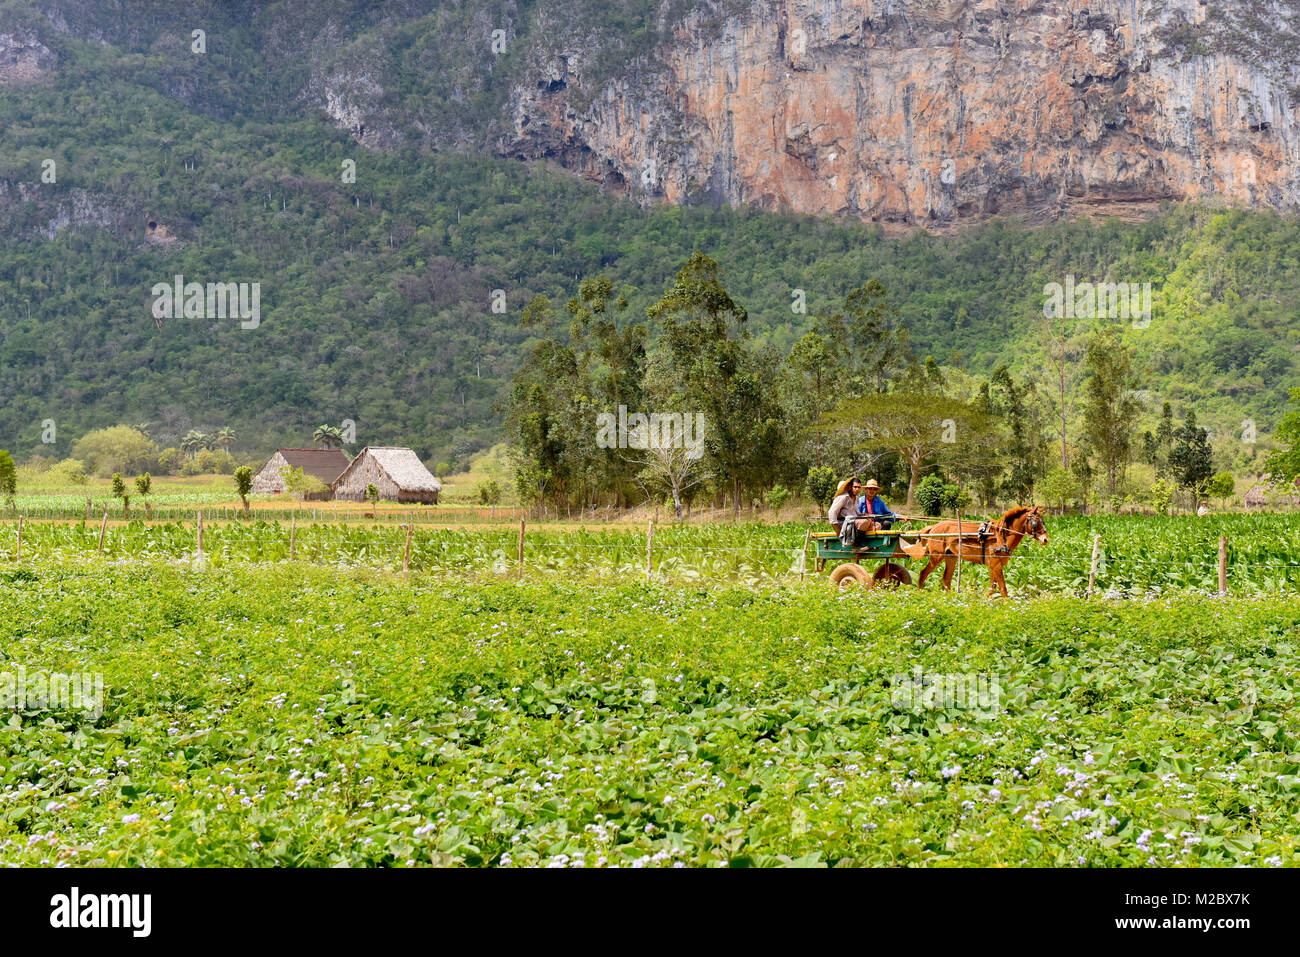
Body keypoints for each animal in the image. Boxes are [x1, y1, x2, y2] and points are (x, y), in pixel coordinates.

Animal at [909, 504, 1050, 595]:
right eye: (1035, 522)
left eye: (1043, 521)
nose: (1045, 539)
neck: (1001, 536)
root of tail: (934, 526)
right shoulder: (996, 565)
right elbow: (1003, 589)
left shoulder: (994, 566)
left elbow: (993, 589)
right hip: (936, 556)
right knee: (923, 574)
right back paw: (918, 595)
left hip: (951, 557)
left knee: (946, 579)